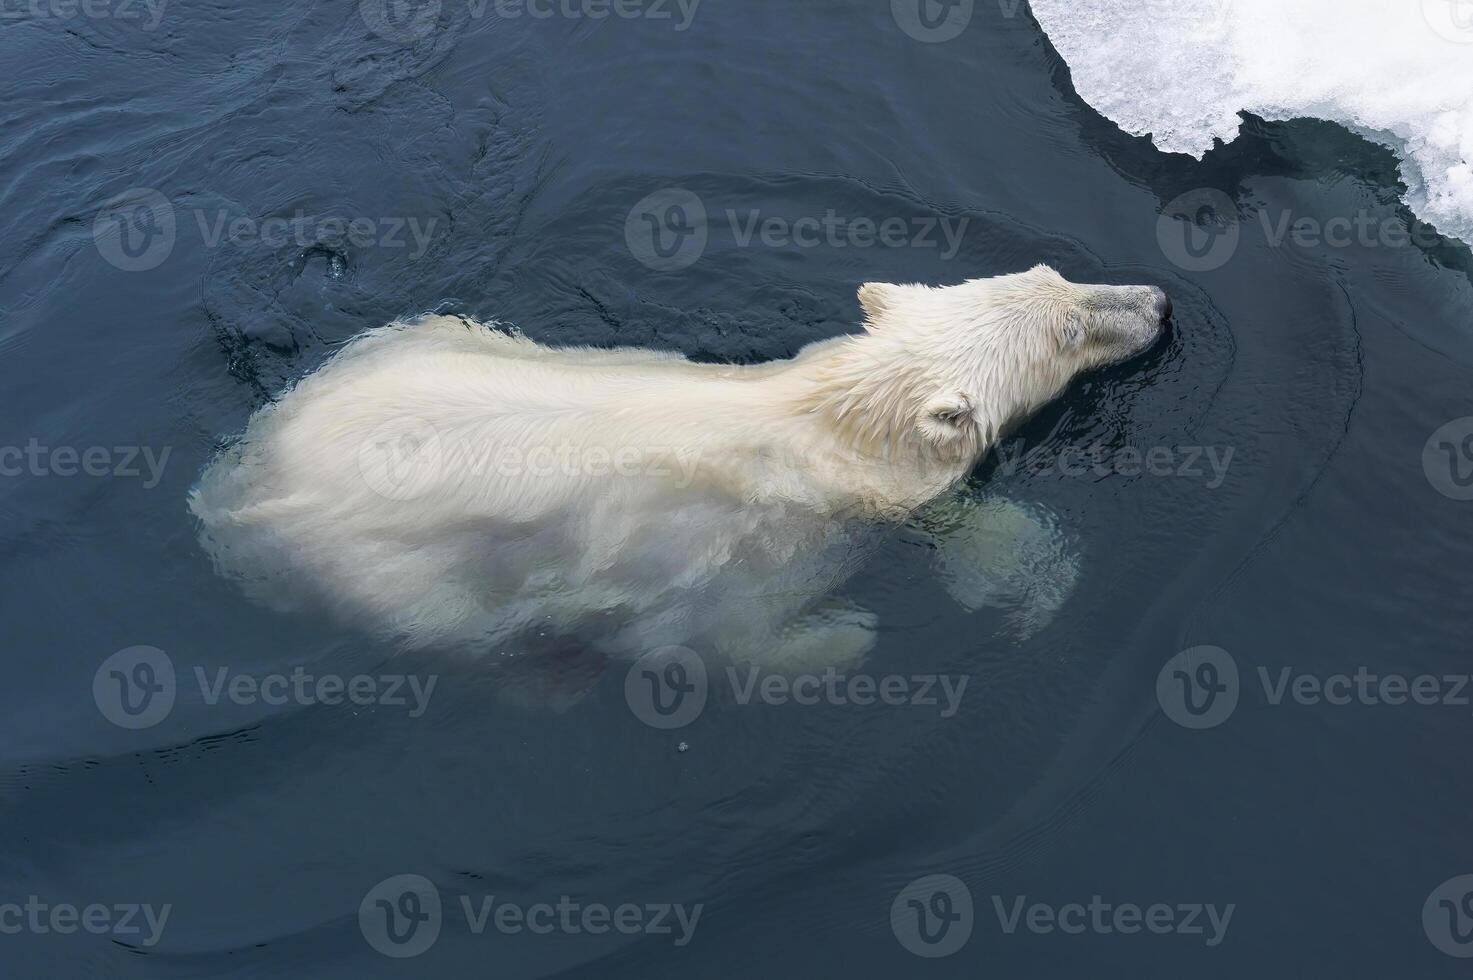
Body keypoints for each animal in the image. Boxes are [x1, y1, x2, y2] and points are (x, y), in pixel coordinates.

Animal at [190, 265, 1166, 666]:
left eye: (1056, 273)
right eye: (1070, 329)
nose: (1158, 300)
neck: (826, 423)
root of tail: (234, 482)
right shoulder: (734, 550)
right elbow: (719, 640)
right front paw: (847, 637)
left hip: (420, 334)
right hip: (386, 571)